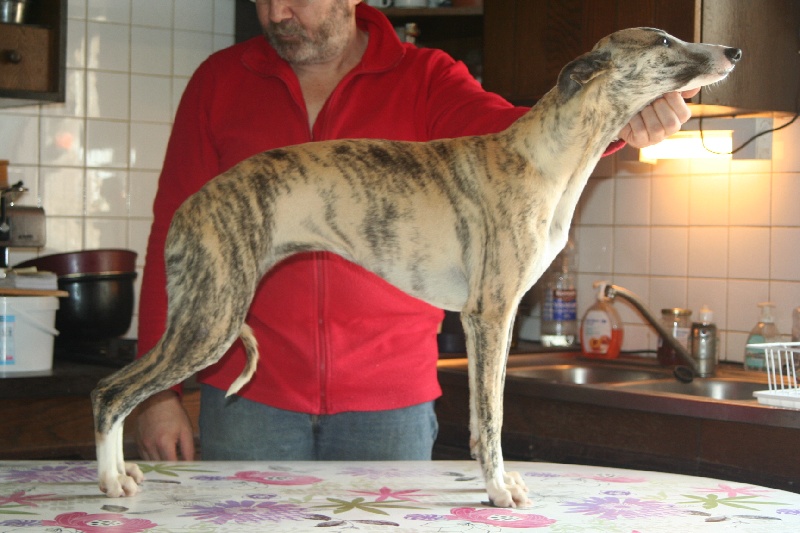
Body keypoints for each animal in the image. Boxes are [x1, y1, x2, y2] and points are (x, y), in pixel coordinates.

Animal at [92, 28, 740, 507]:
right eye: (663, 40)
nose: (733, 52)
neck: (546, 158)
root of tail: (189, 206)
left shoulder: (489, 322)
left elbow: (481, 415)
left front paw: (491, 477)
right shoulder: (491, 312)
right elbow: (494, 417)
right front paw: (498, 491)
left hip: (206, 312)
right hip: (212, 319)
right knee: (110, 391)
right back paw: (111, 479)